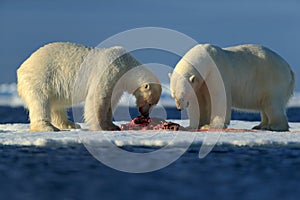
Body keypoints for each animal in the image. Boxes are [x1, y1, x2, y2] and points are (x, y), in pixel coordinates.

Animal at [17, 42, 162, 132]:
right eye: (150, 103)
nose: (145, 114)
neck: (126, 65)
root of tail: (22, 67)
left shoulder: (117, 85)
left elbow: (111, 101)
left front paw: (112, 125)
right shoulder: (109, 71)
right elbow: (97, 98)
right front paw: (101, 126)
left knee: (57, 105)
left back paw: (70, 124)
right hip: (41, 77)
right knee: (40, 102)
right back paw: (48, 127)